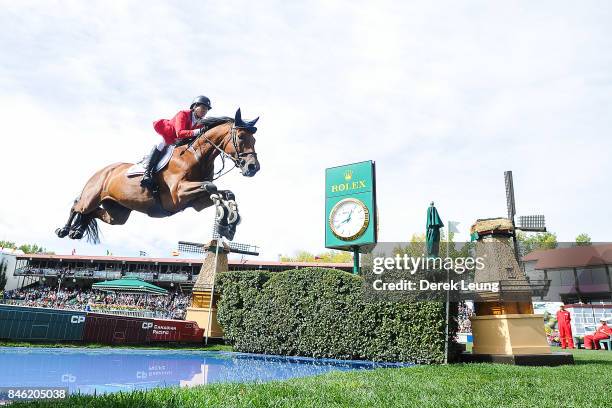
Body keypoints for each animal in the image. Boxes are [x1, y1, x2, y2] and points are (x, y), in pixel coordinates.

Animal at [53, 107, 260, 242]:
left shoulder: (196, 202)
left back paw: (77, 231)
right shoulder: (178, 194)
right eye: (241, 137)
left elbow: (226, 192)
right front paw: (224, 217)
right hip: (92, 195)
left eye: (255, 139)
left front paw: (229, 224)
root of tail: (103, 170)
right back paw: (64, 229)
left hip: (117, 213)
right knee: (78, 205)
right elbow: (212, 187)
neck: (197, 156)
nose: (253, 167)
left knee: (93, 213)